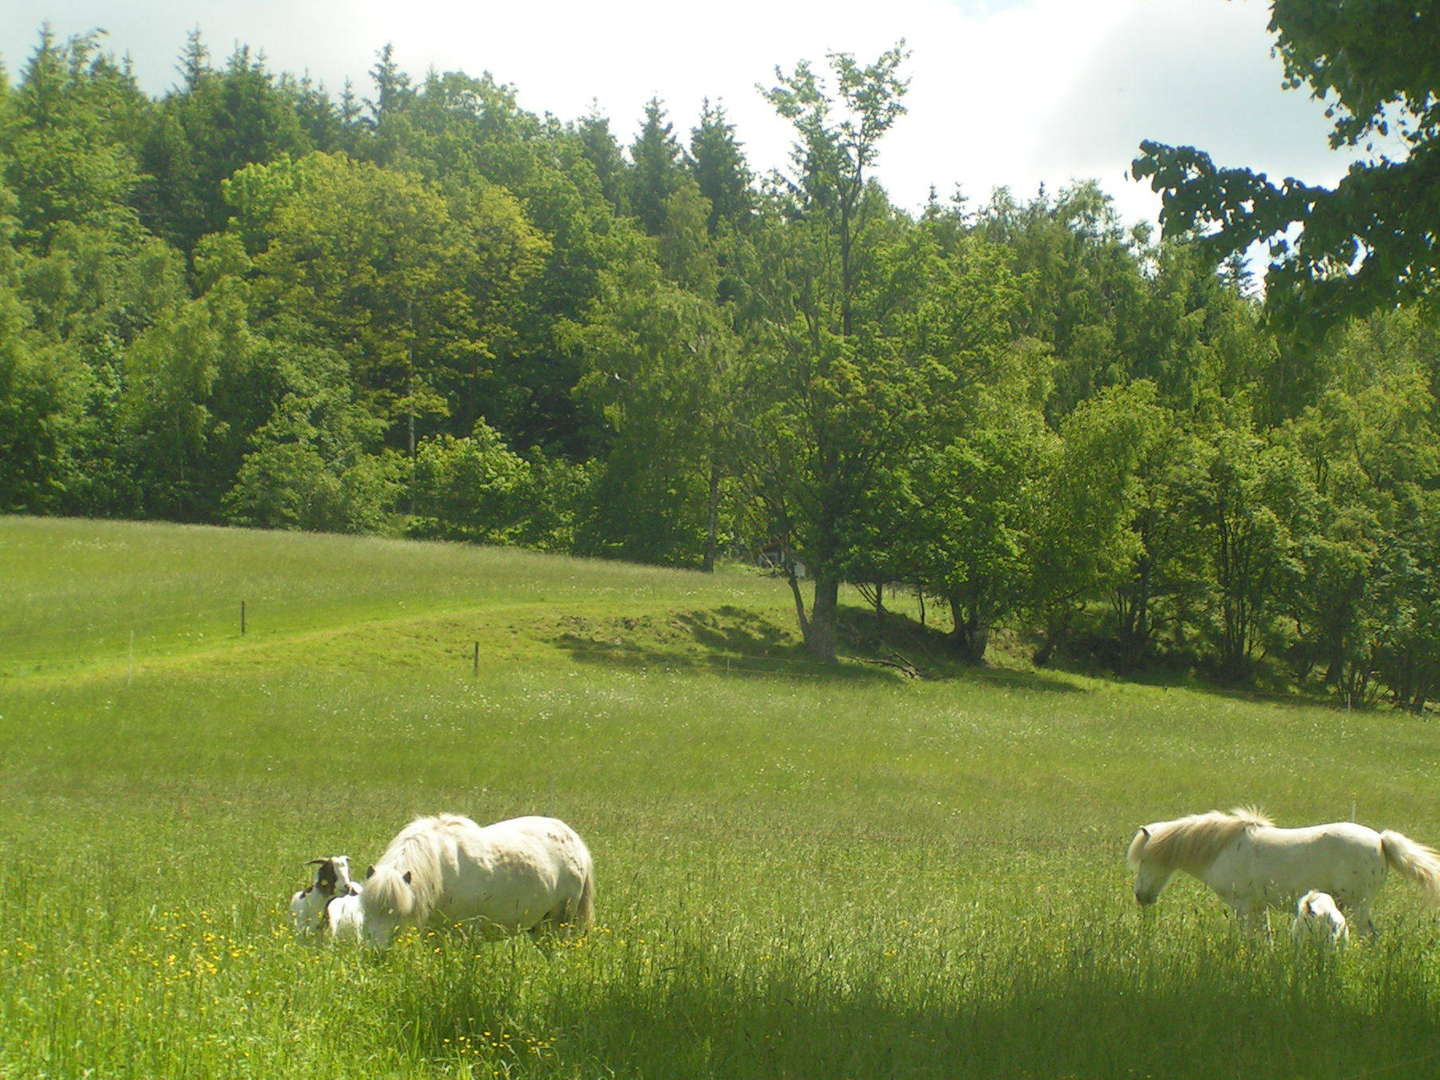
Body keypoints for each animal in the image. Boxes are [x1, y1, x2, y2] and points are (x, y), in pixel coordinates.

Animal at [360, 817, 596, 950]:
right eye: (365, 910)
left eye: (397, 913)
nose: (375, 953)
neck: (441, 865)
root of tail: (575, 840)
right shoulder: (433, 932)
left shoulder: (467, 931)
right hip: (538, 926)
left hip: (558, 922)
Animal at [1123, 806, 1440, 938]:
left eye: (1144, 860)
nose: (1141, 897)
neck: (1223, 847)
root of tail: (1381, 840)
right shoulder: (1258, 907)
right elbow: (1265, 938)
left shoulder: (1242, 907)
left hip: (1356, 907)